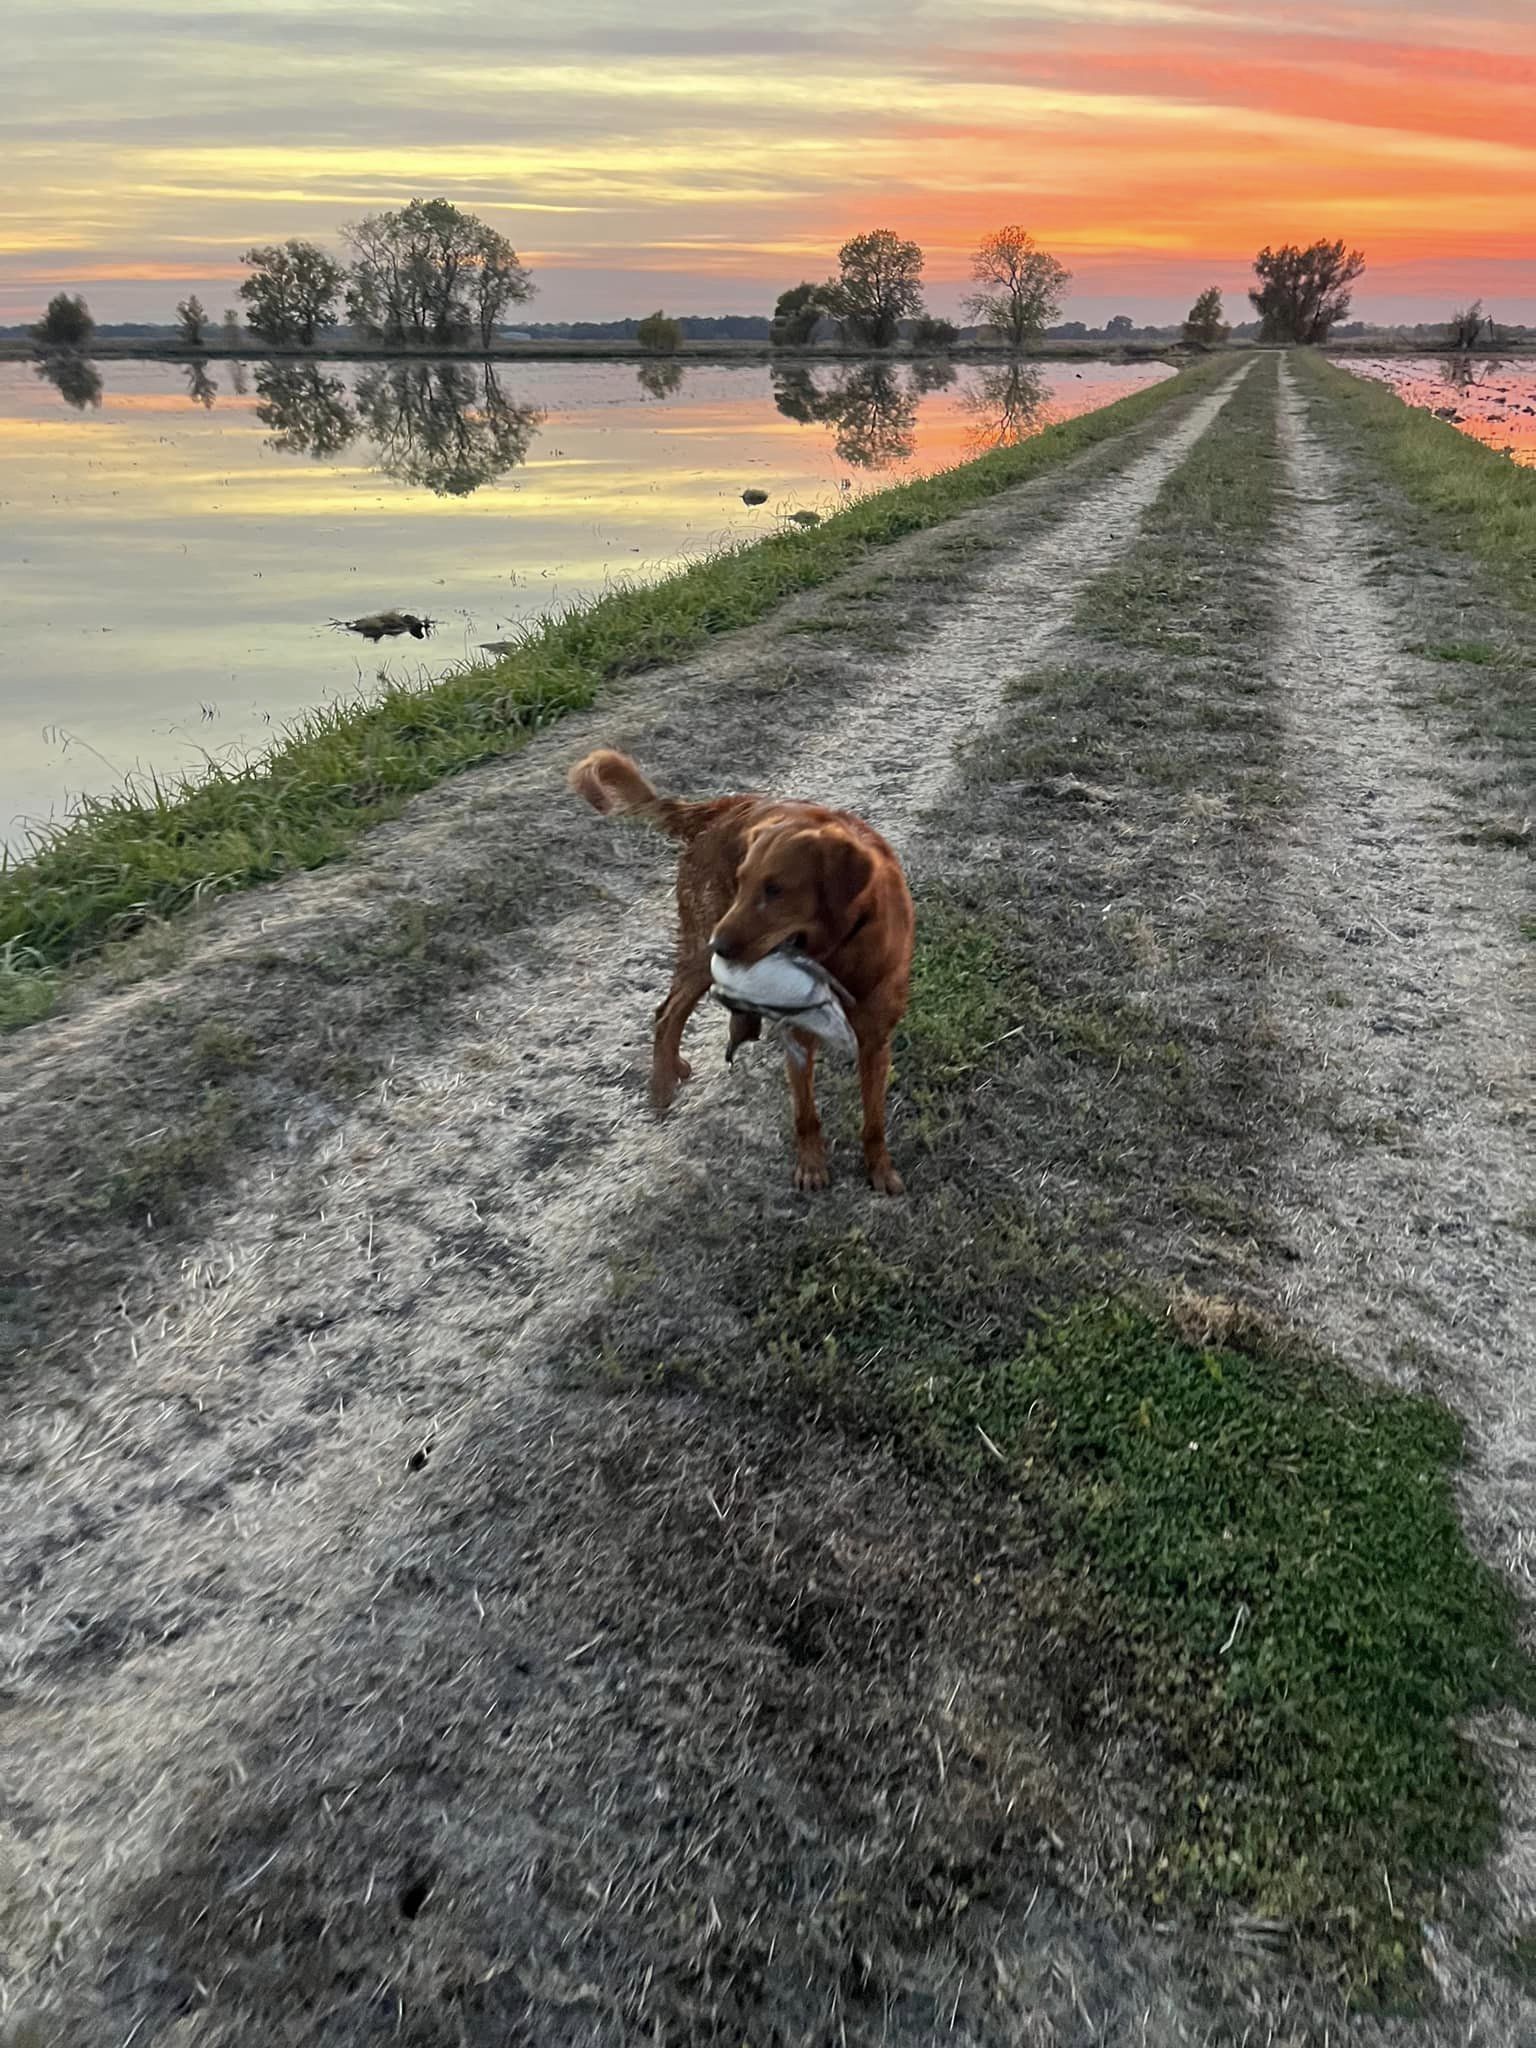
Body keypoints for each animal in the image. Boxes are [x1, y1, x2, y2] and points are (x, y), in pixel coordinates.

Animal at [569, 749, 913, 1196]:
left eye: (775, 889)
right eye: (743, 881)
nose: (720, 946)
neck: (846, 950)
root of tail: (715, 810)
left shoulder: (876, 1041)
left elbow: (874, 1121)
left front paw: (880, 1168)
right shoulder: (798, 1038)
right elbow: (806, 1114)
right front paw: (811, 1165)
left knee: (669, 1011)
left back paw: (674, 1067)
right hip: (699, 954)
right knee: (667, 1013)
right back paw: (661, 1087)